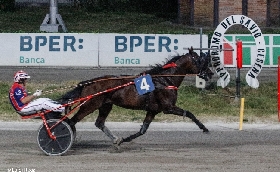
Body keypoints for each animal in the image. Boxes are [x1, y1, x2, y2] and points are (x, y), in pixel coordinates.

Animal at [60, 47, 213, 146]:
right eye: (199, 60)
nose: (210, 73)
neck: (165, 80)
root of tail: (88, 83)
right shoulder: (168, 107)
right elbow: (190, 113)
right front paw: (204, 128)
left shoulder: (152, 110)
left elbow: (142, 130)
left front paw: (123, 140)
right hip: (90, 105)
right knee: (72, 122)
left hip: (106, 105)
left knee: (99, 123)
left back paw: (114, 139)